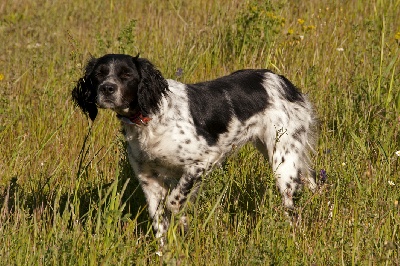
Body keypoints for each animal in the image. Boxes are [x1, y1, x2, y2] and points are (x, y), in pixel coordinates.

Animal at [71, 53, 316, 241]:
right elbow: (159, 220)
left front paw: (183, 225)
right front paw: (165, 252)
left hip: (282, 162)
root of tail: (283, 81)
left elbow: (173, 202)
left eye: (127, 75)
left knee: (292, 207)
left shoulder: (203, 161)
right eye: (98, 74)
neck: (151, 116)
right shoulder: (148, 179)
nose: (107, 88)